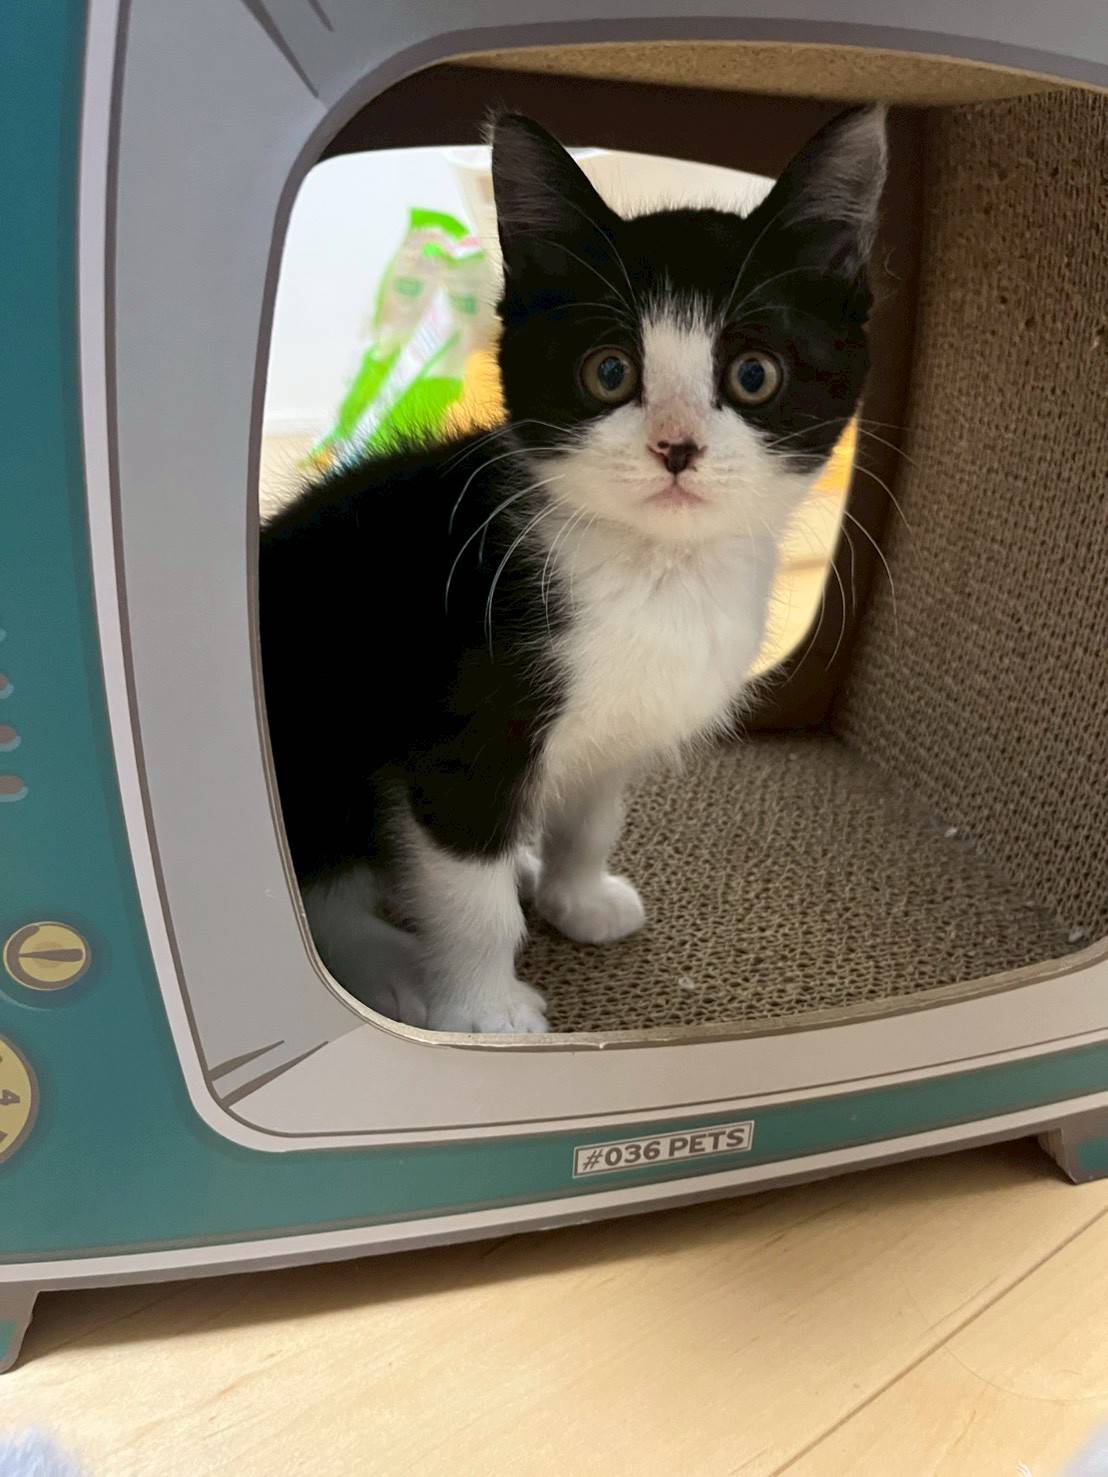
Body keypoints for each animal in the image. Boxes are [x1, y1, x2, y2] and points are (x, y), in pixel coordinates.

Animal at [259, 106, 887, 1033]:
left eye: (754, 374)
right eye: (610, 371)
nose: (676, 447)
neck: (656, 572)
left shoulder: (617, 726)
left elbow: (592, 813)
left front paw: (576, 896)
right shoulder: (463, 727)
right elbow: (466, 883)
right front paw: (484, 1008)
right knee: (321, 886)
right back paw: (395, 966)